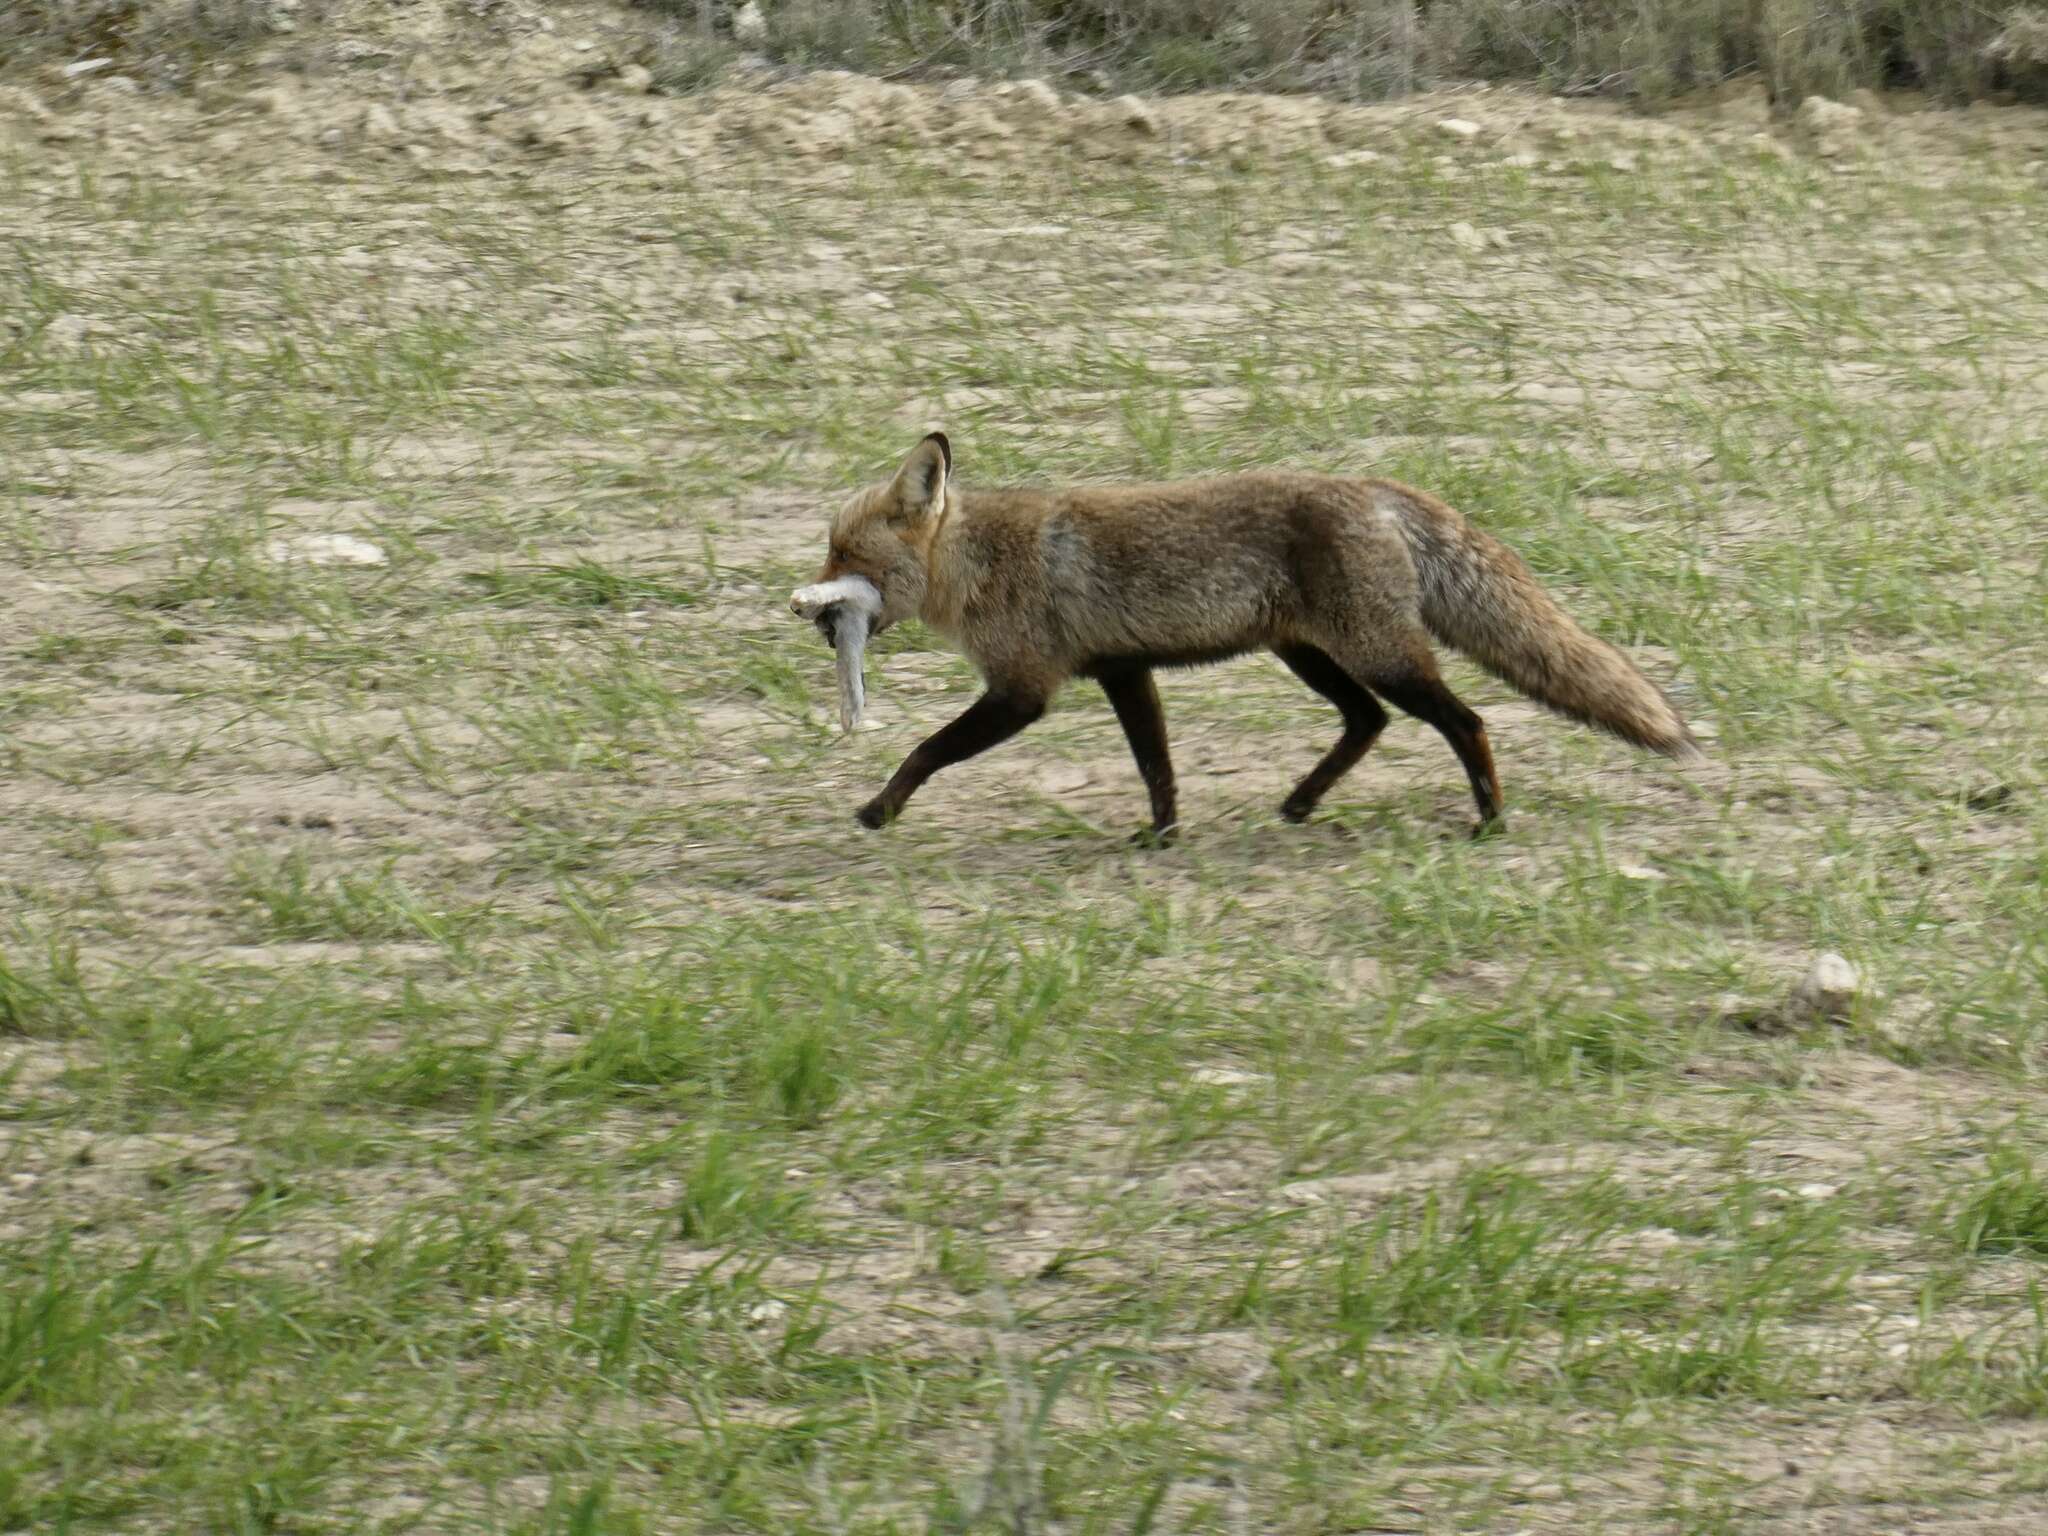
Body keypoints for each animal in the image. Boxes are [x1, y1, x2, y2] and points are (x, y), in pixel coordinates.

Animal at [790, 434, 1703, 843]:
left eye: (844, 556)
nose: (806, 609)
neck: (980, 565)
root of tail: (1373, 486)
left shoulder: (1024, 690)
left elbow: (926, 750)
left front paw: (879, 809)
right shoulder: (1124, 670)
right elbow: (1157, 766)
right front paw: (1161, 835)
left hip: (1379, 656)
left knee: (1464, 721)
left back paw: (1488, 818)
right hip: (1311, 656)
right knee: (1367, 722)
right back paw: (1300, 803)